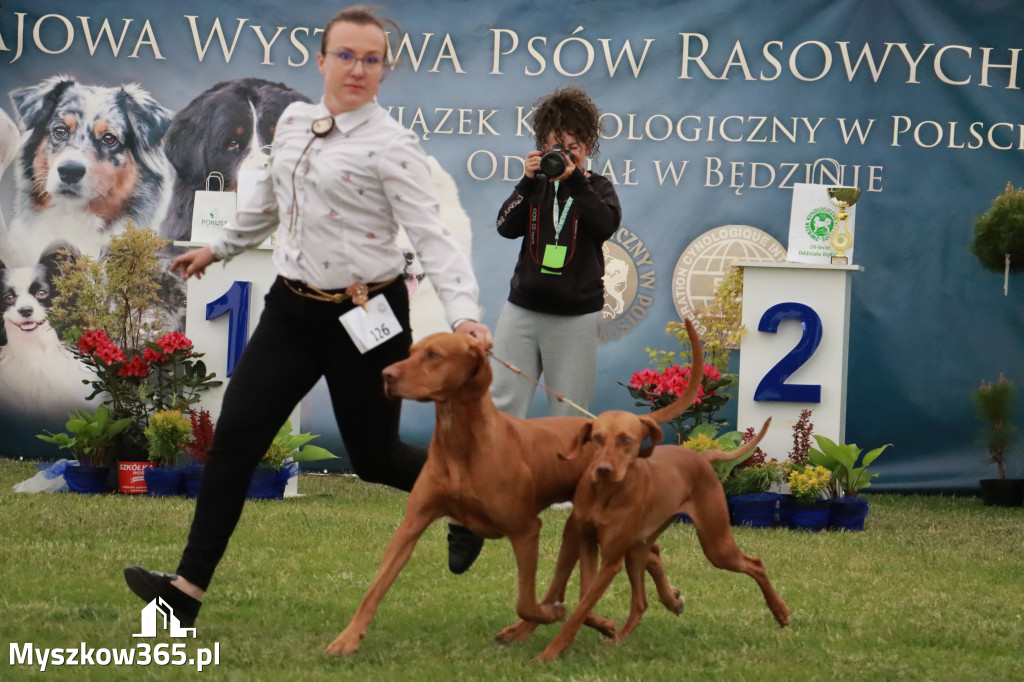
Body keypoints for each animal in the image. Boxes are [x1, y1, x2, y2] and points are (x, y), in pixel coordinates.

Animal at [325, 319, 704, 655]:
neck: (460, 442)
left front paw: (549, 615)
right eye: (411, 351)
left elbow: (525, 599)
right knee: (645, 552)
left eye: (433, 355)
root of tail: (625, 424)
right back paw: (654, 603)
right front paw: (347, 639)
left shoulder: (526, 530)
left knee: (576, 581)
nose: (386, 375)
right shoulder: (411, 526)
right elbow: (375, 587)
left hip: (577, 525)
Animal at [540, 409, 786, 659]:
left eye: (626, 439)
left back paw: (780, 611)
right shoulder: (588, 543)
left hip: (716, 546)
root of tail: (701, 456)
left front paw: (548, 654)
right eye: (597, 438)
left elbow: (581, 609)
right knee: (642, 599)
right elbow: (584, 601)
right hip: (638, 548)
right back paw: (624, 635)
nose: (603, 469)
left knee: (755, 564)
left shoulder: (611, 561)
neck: (605, 494)